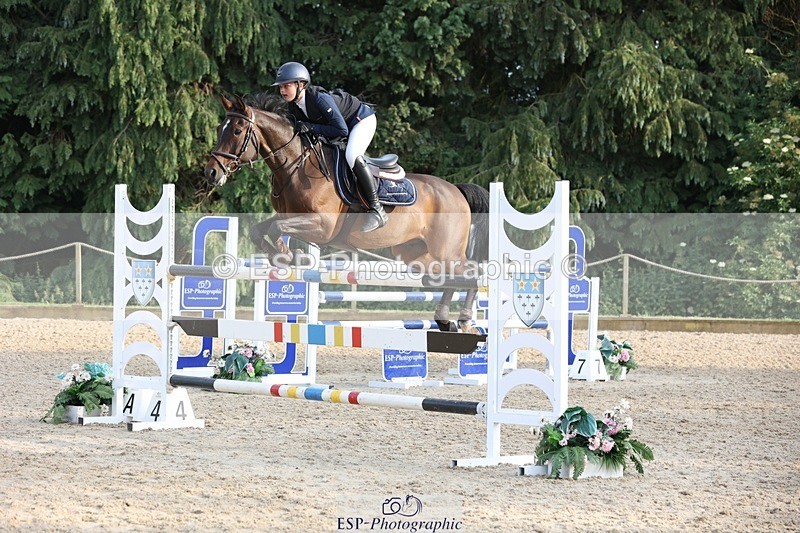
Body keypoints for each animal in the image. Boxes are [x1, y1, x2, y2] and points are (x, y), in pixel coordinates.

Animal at [204, 93, 489, 332]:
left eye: (237, 130)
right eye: (219, 129)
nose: (212, 172)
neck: (297, 165)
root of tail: (455, 189)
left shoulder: (322, 226)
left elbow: (276, 229)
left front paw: (287, 254)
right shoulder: (292, 217)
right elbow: (259, 230)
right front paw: (282, 256)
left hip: (447, 250)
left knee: (472, 273)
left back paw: (464, 319)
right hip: (416, 253)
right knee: (449, 277)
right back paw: (444, 319)